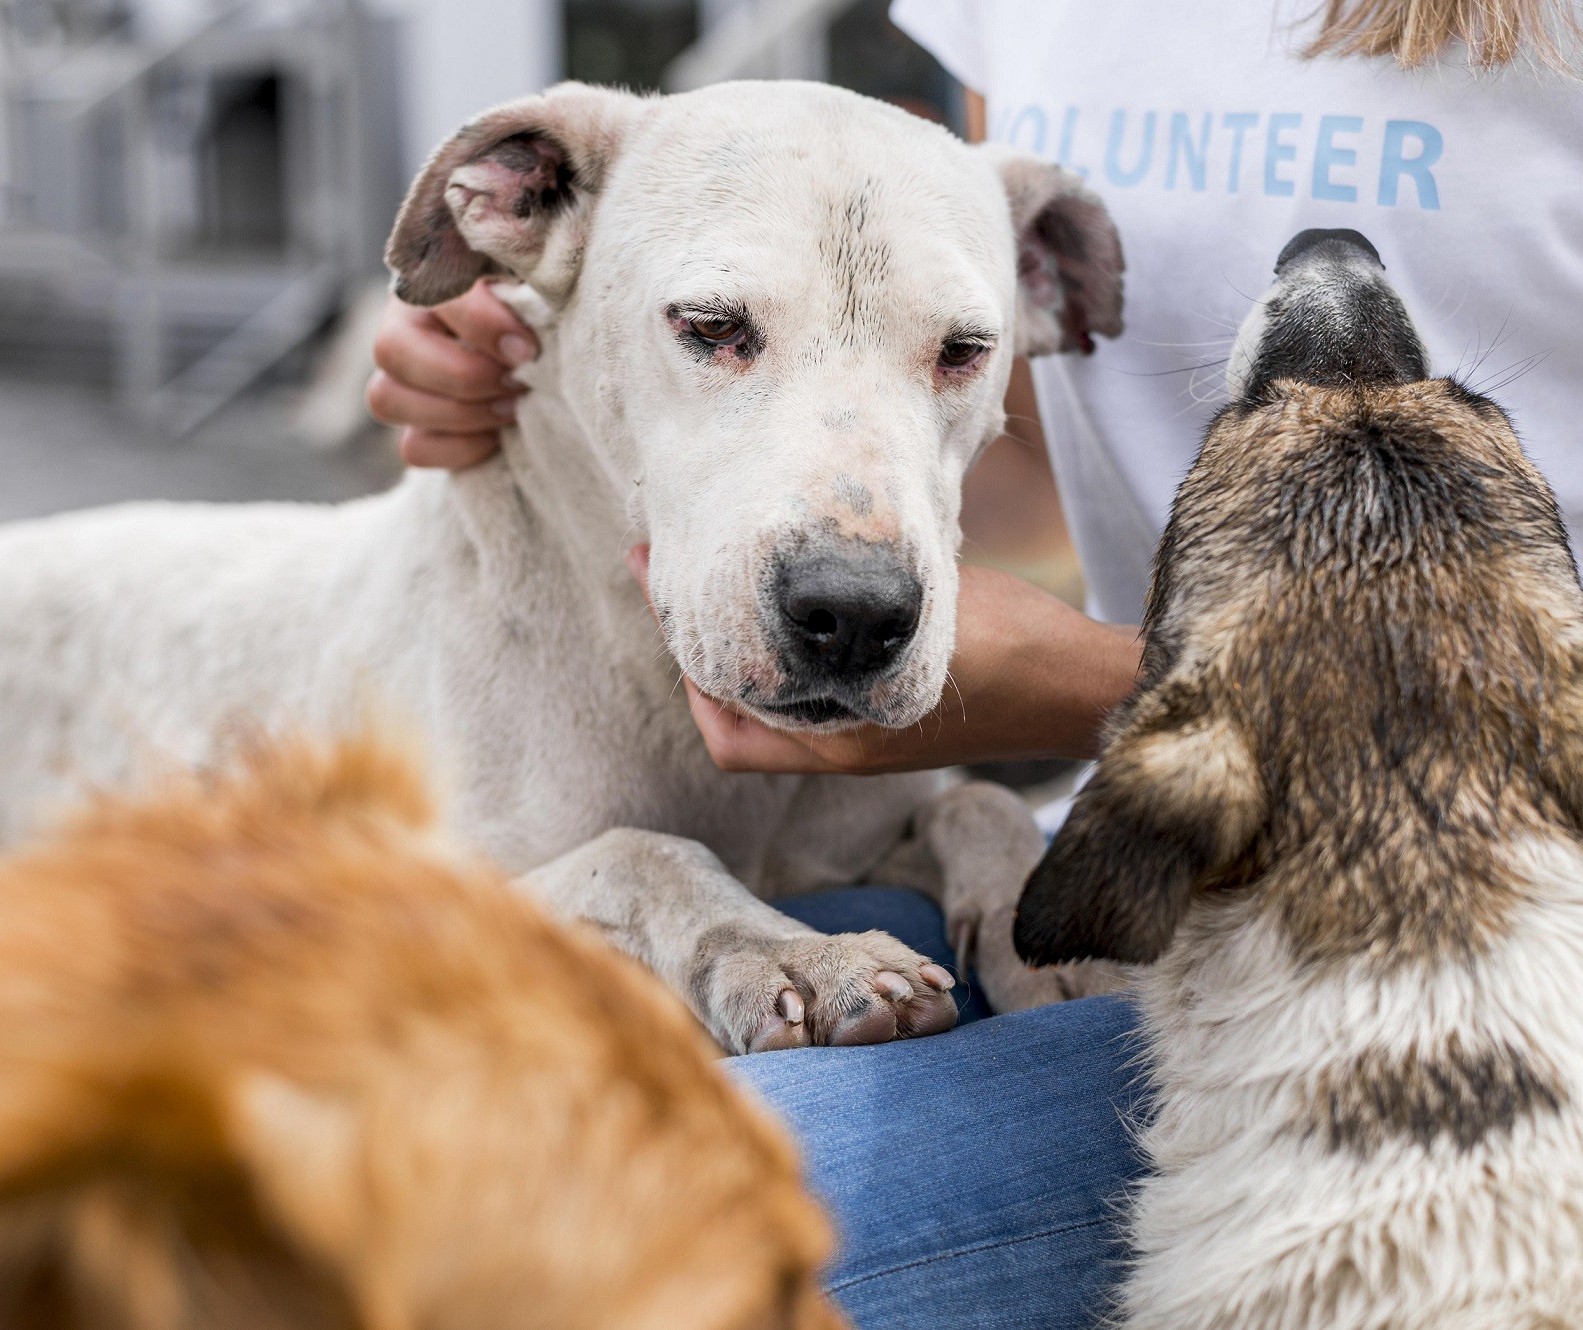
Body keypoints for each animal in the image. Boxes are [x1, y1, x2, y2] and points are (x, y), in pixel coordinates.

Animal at [0, 85, 1120, 1057]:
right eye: (710, 326)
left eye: (965, 350)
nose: (851, 614)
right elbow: (640, 853)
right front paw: (798, 953)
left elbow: (978, 805)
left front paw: (1049, 926)